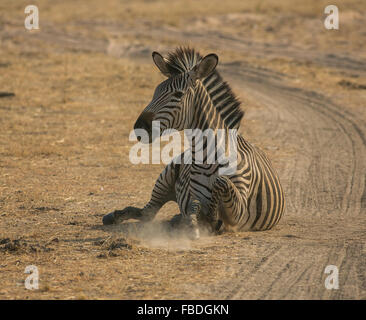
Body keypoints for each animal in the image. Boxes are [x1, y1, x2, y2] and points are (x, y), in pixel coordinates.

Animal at [103, 47, 286, 238]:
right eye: (155, 92)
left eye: (178, 95)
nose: (139, 127)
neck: (207, 157)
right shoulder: (195, 196)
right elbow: (193, 209)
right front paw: (198, 220)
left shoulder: (241, 211)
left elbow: (220, 182)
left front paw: (212, 215)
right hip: (167, 174)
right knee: (147, 212)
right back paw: (116, 216)